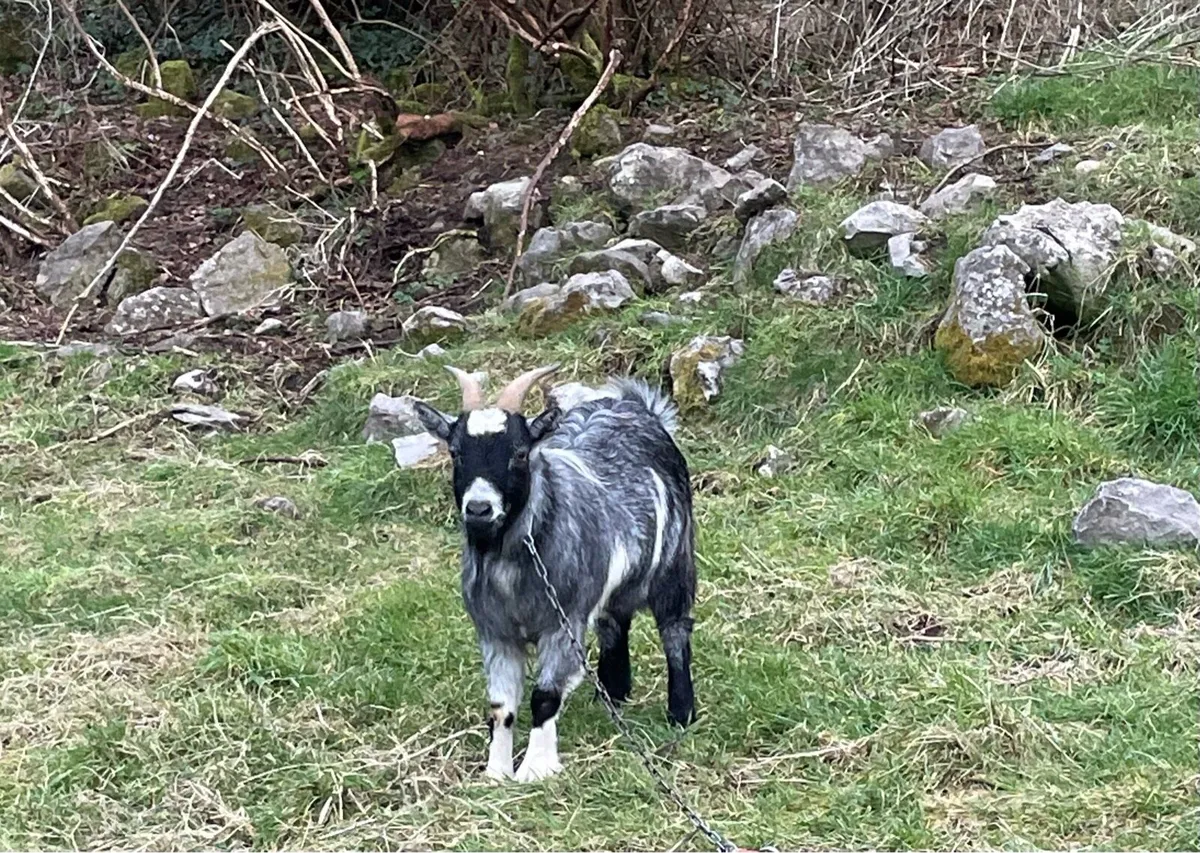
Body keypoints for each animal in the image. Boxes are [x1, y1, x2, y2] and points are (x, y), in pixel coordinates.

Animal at [413, 364, 697, 783]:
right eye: (455, 452)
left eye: (519, 452)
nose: (479, 509)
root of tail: (635, 406)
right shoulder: (496, 633)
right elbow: (500, 706)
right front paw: (497, 772)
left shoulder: (562, 624)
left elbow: (545, 696)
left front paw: (536, 768)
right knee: (614, 621)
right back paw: (612, 693)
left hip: (674, 564)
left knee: (675, 629)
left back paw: (681, 712)